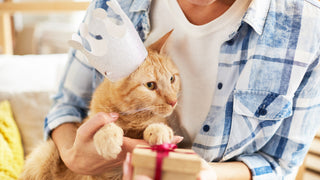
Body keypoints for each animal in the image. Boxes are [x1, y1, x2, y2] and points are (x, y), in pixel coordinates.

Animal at [19, 30, 180, 179]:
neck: (132, 117)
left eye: (172, 79)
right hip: (44, 154)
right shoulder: (93, 120)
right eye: (150, 85)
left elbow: (156, 123)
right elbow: (105, 124)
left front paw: (159, 130)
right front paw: (108, 138)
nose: (173, 101)